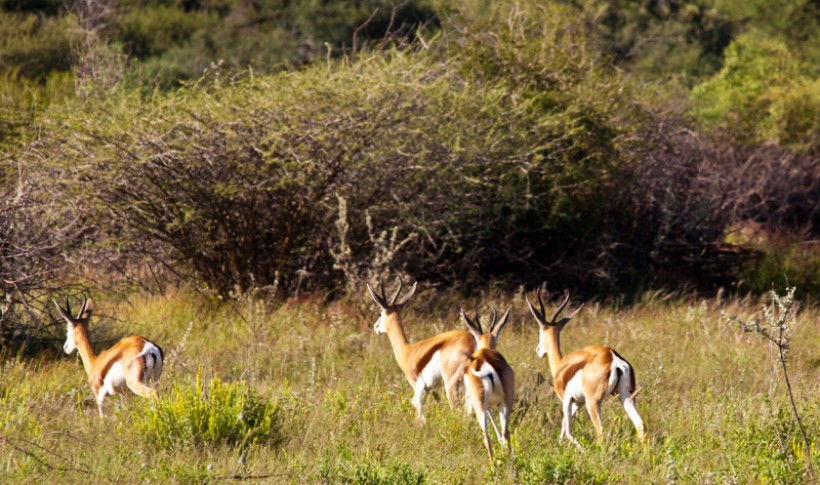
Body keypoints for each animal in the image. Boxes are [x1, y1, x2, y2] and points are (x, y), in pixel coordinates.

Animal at [366, 278, 474, 422]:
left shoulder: (419, 388)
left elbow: (419, 412)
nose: (375, 327)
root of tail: (472, 344)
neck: (407, 351)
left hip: (451, 383)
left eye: (380, 313)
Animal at [462, 308, 512, 460]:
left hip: (481, 403)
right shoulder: (493, 403)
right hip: (503, 402)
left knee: (488, 436)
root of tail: (485, 363)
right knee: (504, 432)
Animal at [524, 286, 648, 448]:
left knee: (601, 432)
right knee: (640, 425)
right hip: (626, 397)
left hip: (593, 403)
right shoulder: (578, 402)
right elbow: (564, 426)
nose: (538, 351)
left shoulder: (567, 400)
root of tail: (613, 358)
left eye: (538, 332)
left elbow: (568, 430)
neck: (561, 366)